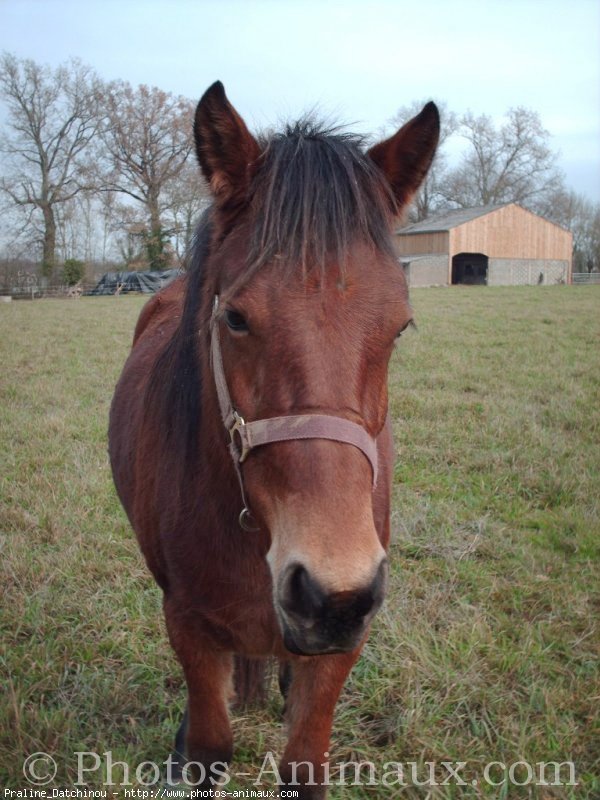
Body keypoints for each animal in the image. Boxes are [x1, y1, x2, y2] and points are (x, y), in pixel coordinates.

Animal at [109, 78, 436, 796]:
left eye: (400, 327)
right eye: (235, 318)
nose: (333, 593)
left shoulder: (343, 645)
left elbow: (304, 758)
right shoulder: (187, 624)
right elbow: (209, 745)